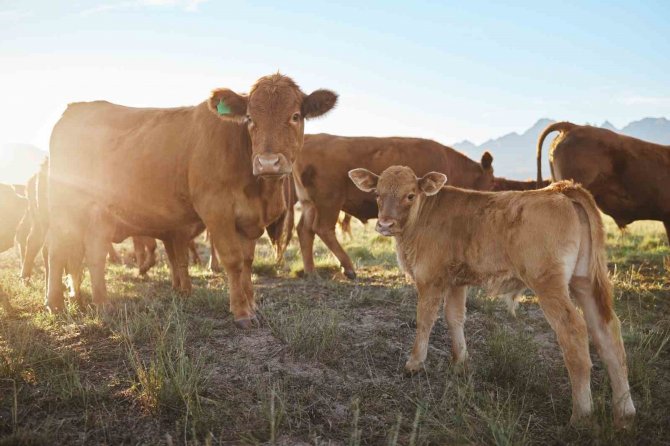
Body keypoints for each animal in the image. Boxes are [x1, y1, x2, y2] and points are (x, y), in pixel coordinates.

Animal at [48, 74, 338, 328]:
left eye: (295, 116)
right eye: (249, 118)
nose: (268, 162)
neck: (259, 191)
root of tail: (74, 109)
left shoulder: (248, 220)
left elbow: (246, 262)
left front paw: (251, 305)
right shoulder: (216, 210)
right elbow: (232, 260)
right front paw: (241, 312)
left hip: (98, 215)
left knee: (92, 252)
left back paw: (98, 303)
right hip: (63, 208)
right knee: (58, 251)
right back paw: (57, 303)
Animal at [292, 133, 494, 278]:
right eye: (492, 183)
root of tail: (310, 138)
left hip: (309, 204)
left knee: (304, 230)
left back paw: (311, 272)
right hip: (328, 203)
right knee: (322, 228)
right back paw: (348, 269)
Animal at [352, 165, 640, 428]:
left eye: (410, 195)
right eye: (377, 194)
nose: (384, 224)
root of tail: (560, 189)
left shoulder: (430, 279)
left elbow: (425, 320)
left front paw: (414, 363)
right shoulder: (456, 281)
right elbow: (454, 317)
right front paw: (460, 363)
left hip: (549, 284)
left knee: (574, 330)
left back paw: (580, 415)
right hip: (584, 281)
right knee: (607, 332)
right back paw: (624, 411)